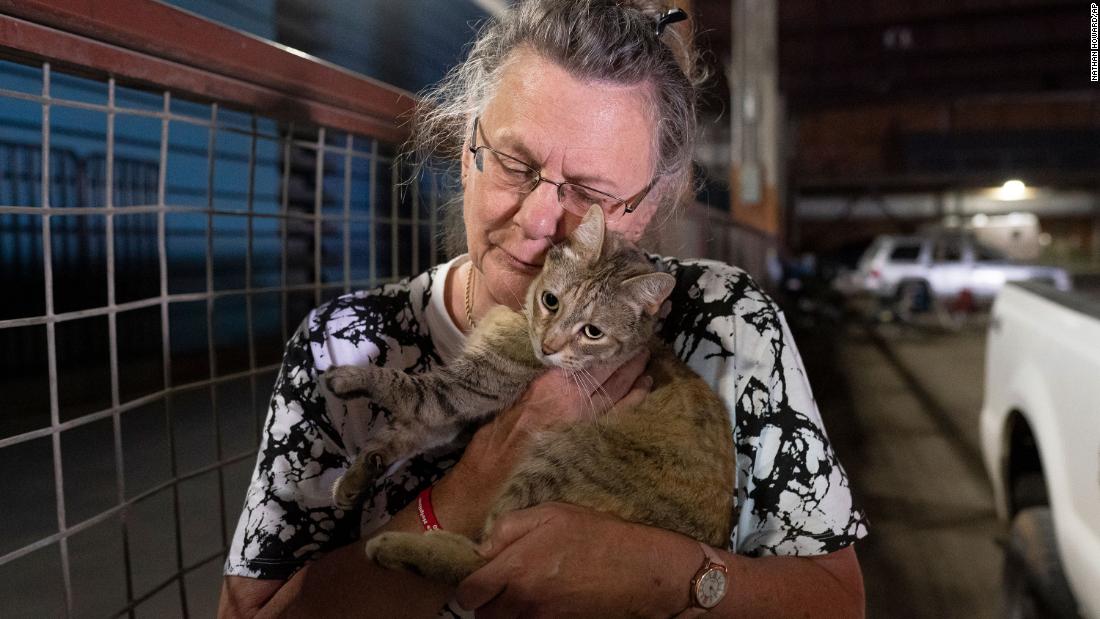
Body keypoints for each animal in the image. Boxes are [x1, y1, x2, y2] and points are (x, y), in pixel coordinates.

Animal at [325, 205, 739, 584]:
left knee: (483, 562)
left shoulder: (470, 386)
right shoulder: (462, 414)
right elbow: (408, 431)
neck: (516, 316)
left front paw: (349, 379)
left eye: (593, 332)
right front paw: (359, 474)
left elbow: (408, 387)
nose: (549, 346)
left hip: (558, 459)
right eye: (551, 300)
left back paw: (398, 548)